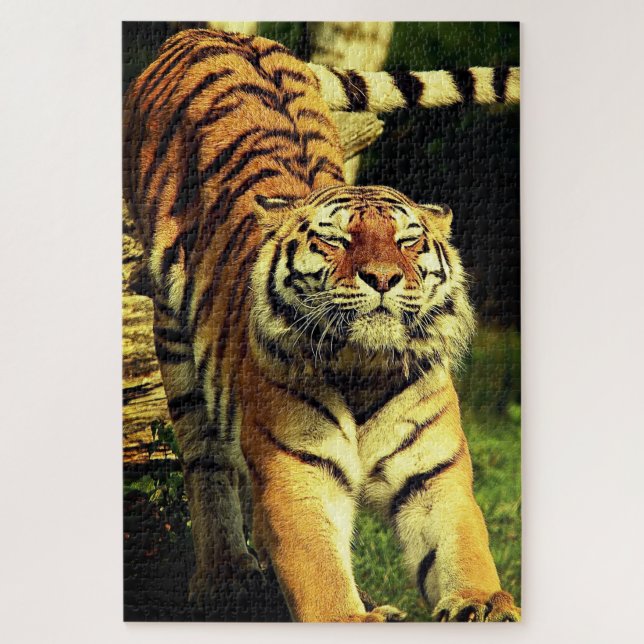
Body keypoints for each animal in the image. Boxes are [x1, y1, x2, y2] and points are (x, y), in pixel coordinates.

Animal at [123, 28, 521, 622]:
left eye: (407, 241)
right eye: (335, 240)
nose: (383, 277)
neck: (364, 368)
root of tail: (211, 32)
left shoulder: (435, 476)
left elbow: (463, 548)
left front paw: (483, 604)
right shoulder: (298, 476)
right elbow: (320, 575)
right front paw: (355, 616)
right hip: (174, 340)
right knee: (205, 461)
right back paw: (223, 575)